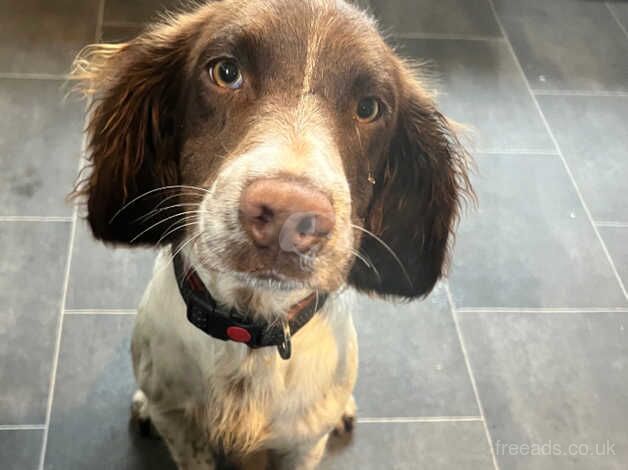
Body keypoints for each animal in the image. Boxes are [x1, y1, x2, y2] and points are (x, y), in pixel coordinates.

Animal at [70, 0, 472, 468]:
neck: (249, 334)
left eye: (370, 108)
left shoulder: (303, 443)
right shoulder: (183, 429)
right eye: (225, 72)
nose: (289, 217)